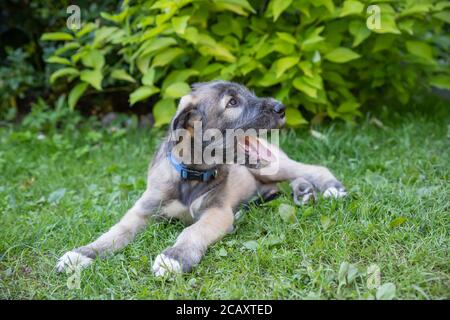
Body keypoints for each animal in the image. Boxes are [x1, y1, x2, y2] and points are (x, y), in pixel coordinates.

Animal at [55, 80, 344, 276]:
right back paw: (301, 192)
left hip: (271, 164)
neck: (191, 174)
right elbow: (114, 232)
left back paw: (328, 187)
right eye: (232, 102)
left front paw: (175, 256)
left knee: (310, 168)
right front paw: (82, 254)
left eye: (248, 94)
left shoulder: (217, 212)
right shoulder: (141, 210)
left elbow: (192, 231)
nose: (281, 107)